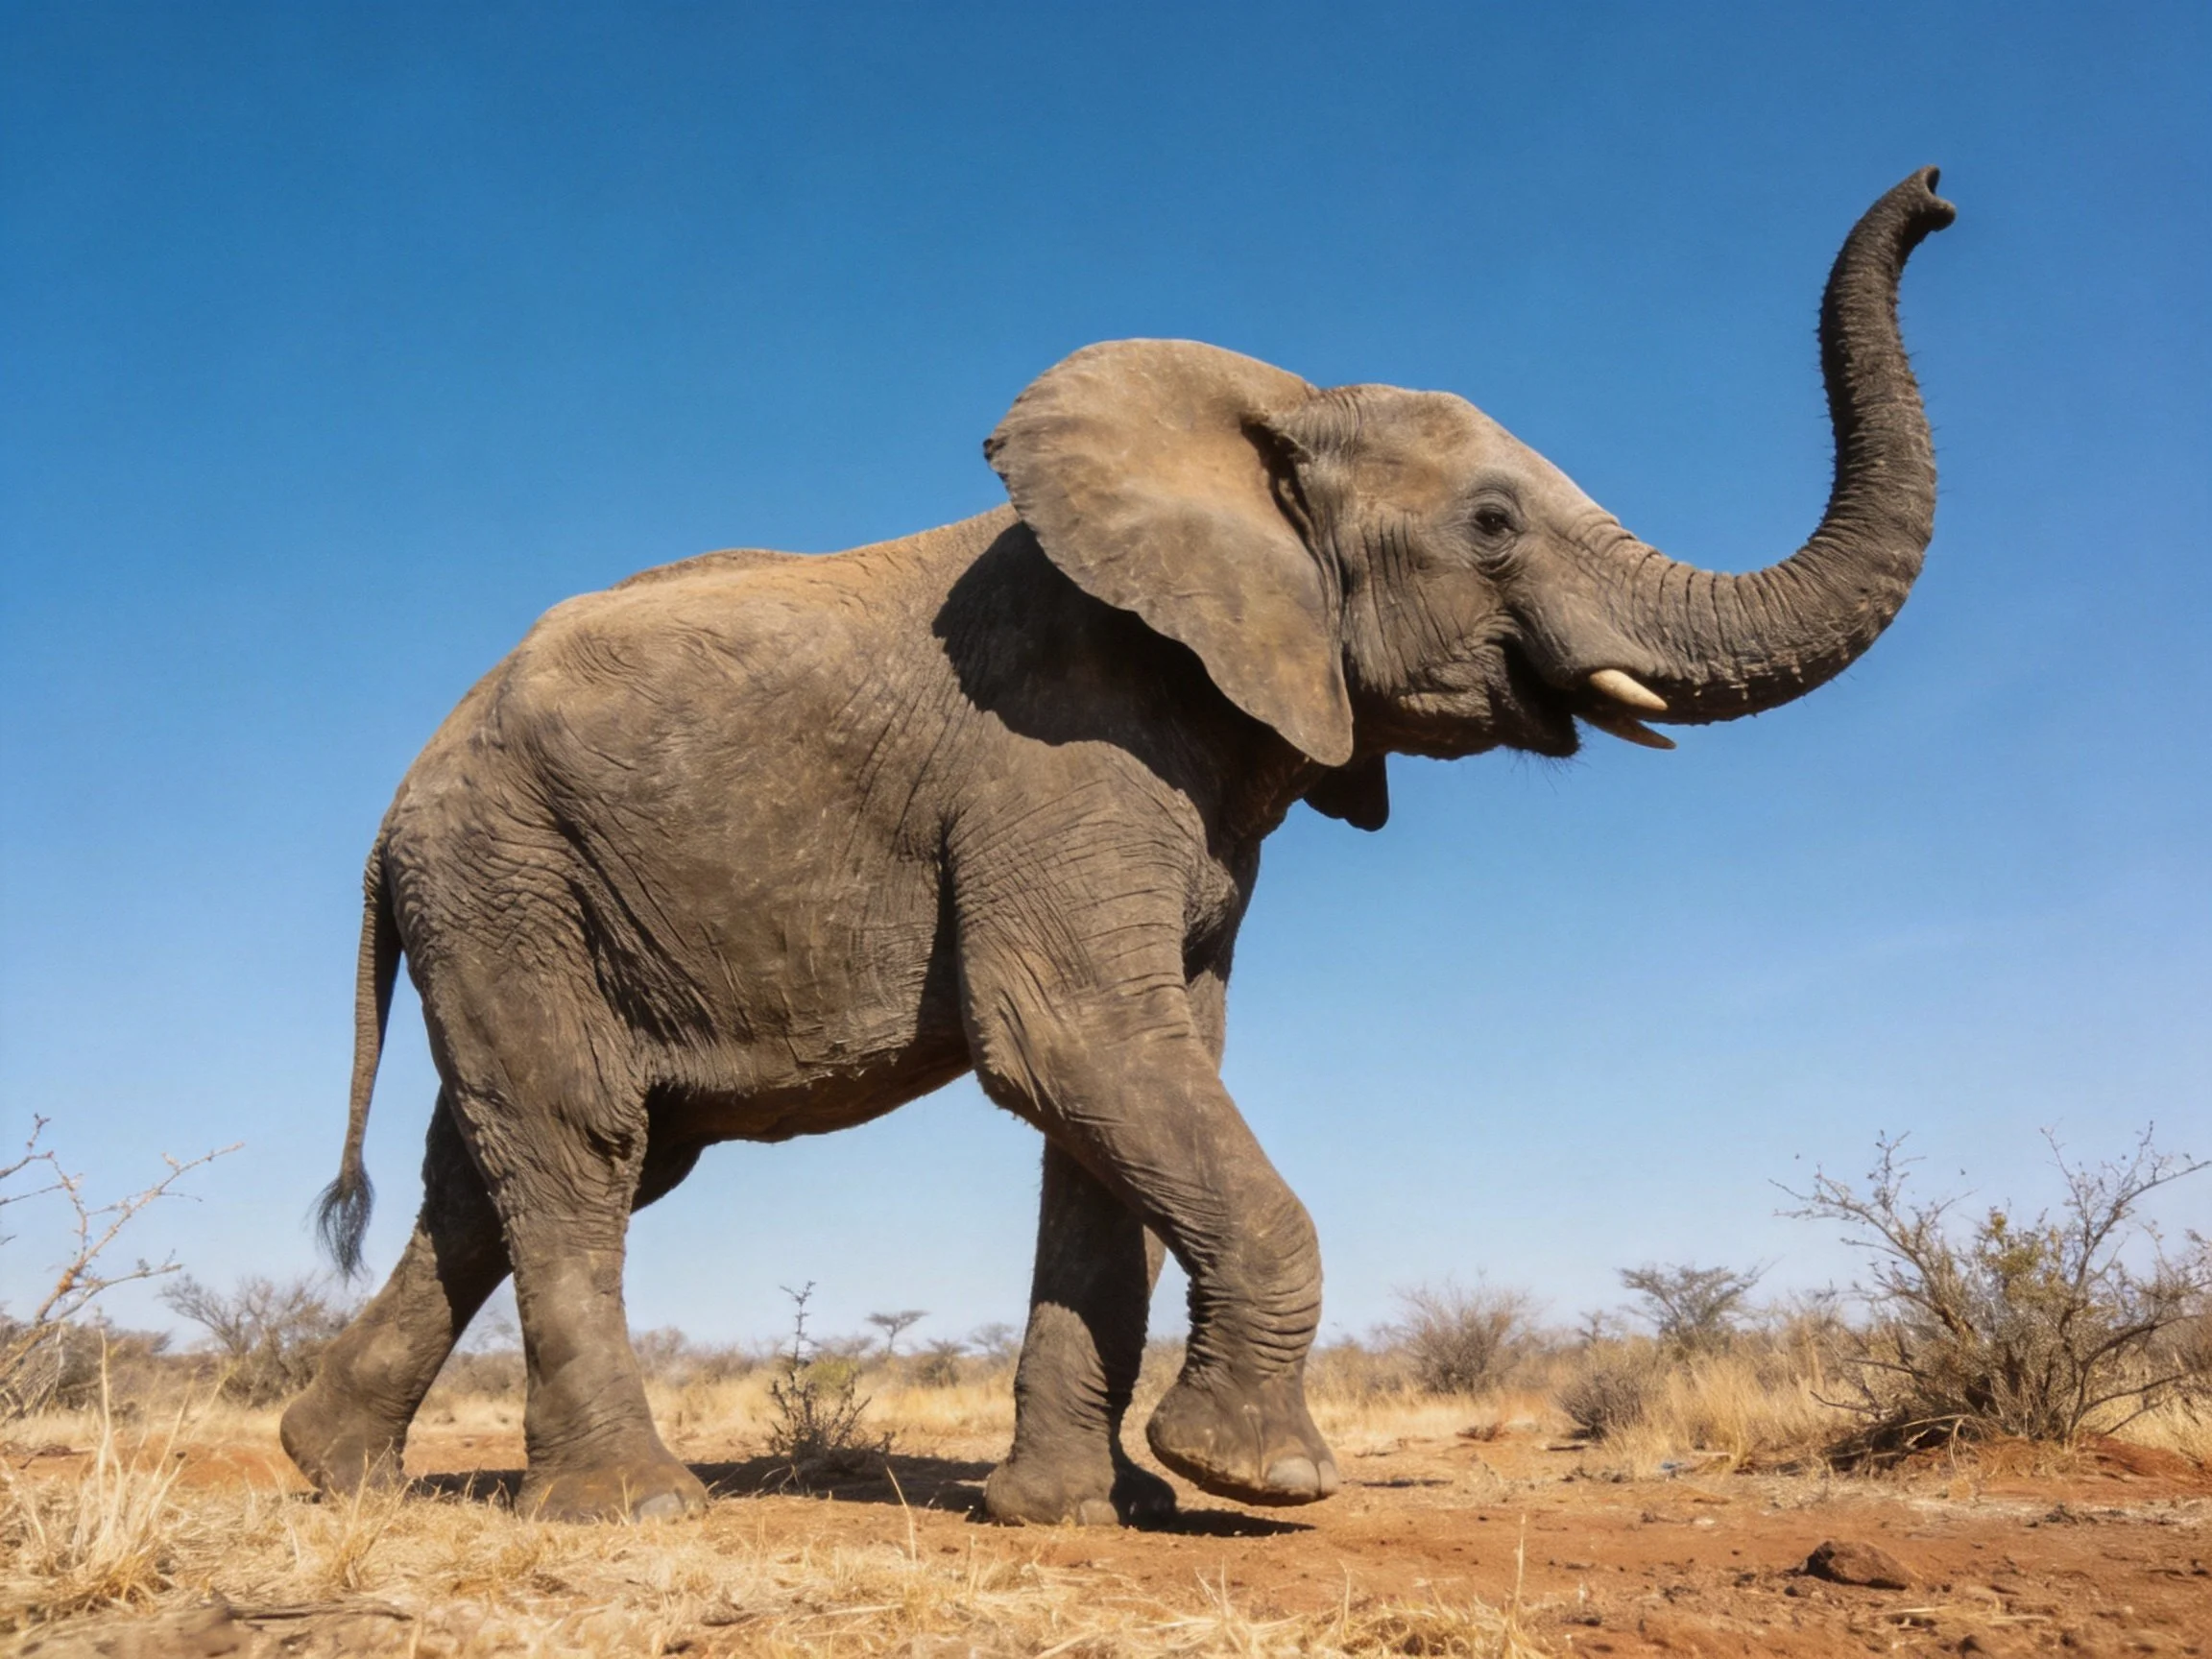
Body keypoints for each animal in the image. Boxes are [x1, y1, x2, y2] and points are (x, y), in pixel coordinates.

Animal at [280, 169, 1954, 1524]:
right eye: (1491, 524)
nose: (1938, 195)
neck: (1262, 431)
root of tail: (398, 790)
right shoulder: (1064, 749)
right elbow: (1074, 1041)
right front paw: (1257, 1480)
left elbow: (1144, 1076)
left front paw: (1077, 1514)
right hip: (504, 867)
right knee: (579, 1143)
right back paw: (631, 1509)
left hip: (524, 889)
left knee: (503, 1170)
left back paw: (333, 1469)